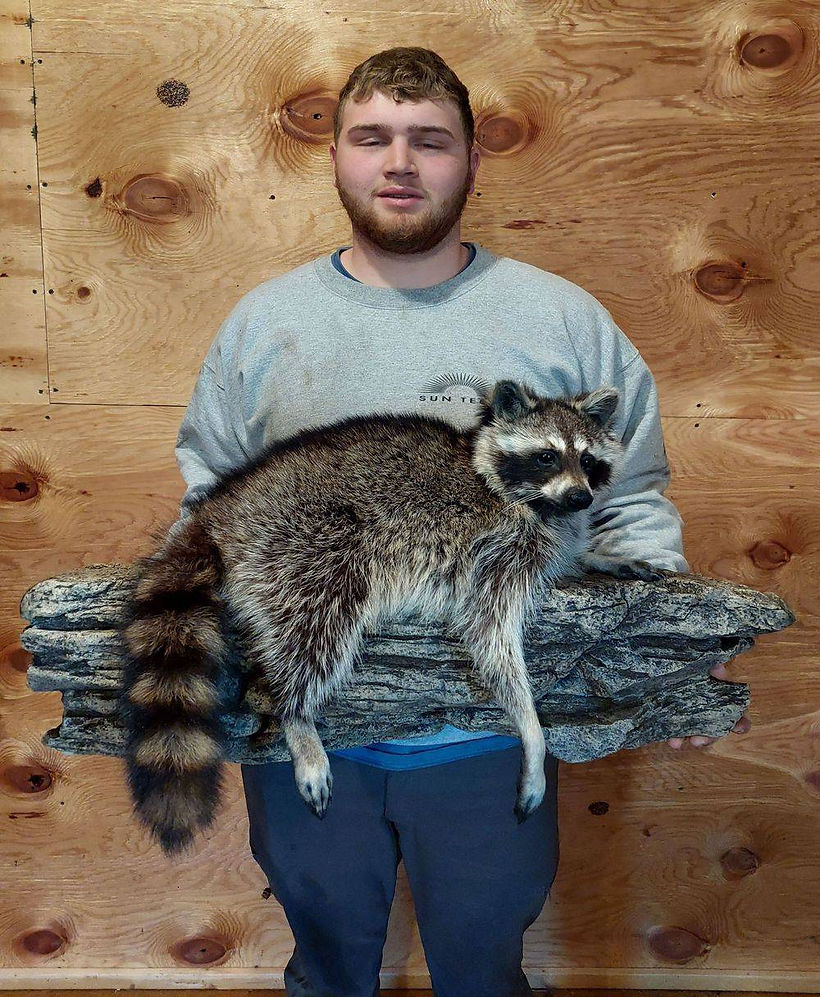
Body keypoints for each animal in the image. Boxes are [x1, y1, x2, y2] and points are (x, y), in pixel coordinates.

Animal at [119, 380, 663, 856]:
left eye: (588, 460)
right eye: (546, 455)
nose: (581, 498)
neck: (530, 500)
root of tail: (220, 508)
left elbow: (566, 557)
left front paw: (603, 557)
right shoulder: (496, 553)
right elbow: (491, 636)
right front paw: (531, 729)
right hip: (304, 541)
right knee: (316, 625)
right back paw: (297, 715)